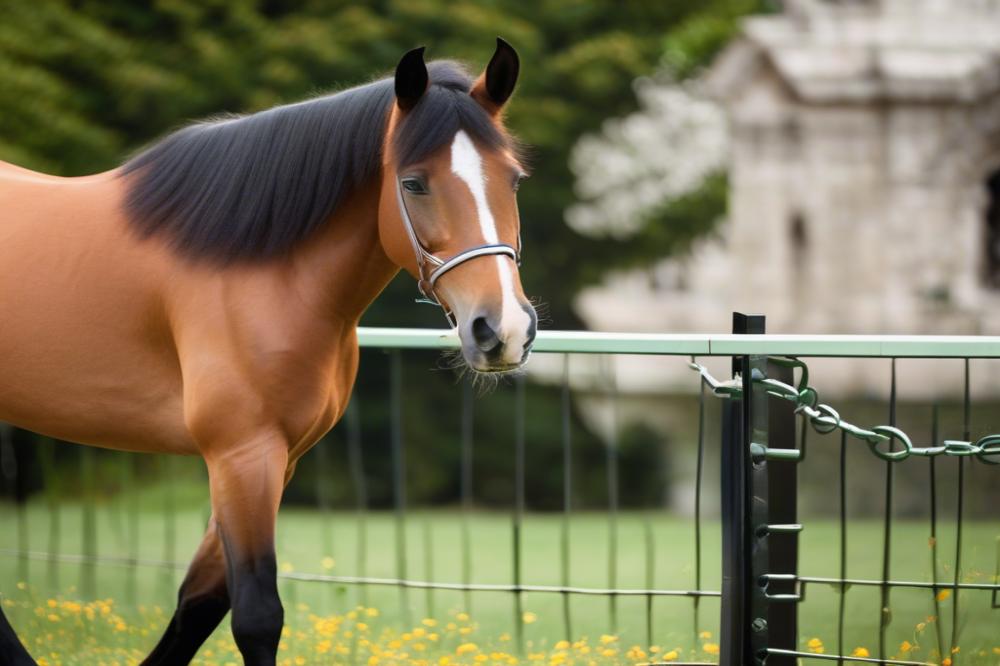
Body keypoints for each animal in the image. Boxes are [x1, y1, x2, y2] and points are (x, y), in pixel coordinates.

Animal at [0, 39, 536, 660]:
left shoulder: (277, 459)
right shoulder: (241, 453)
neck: (257, 266)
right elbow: (256, 615)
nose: (502, 328)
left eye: (514, 180)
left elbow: (199, 602)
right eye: (413, 183)